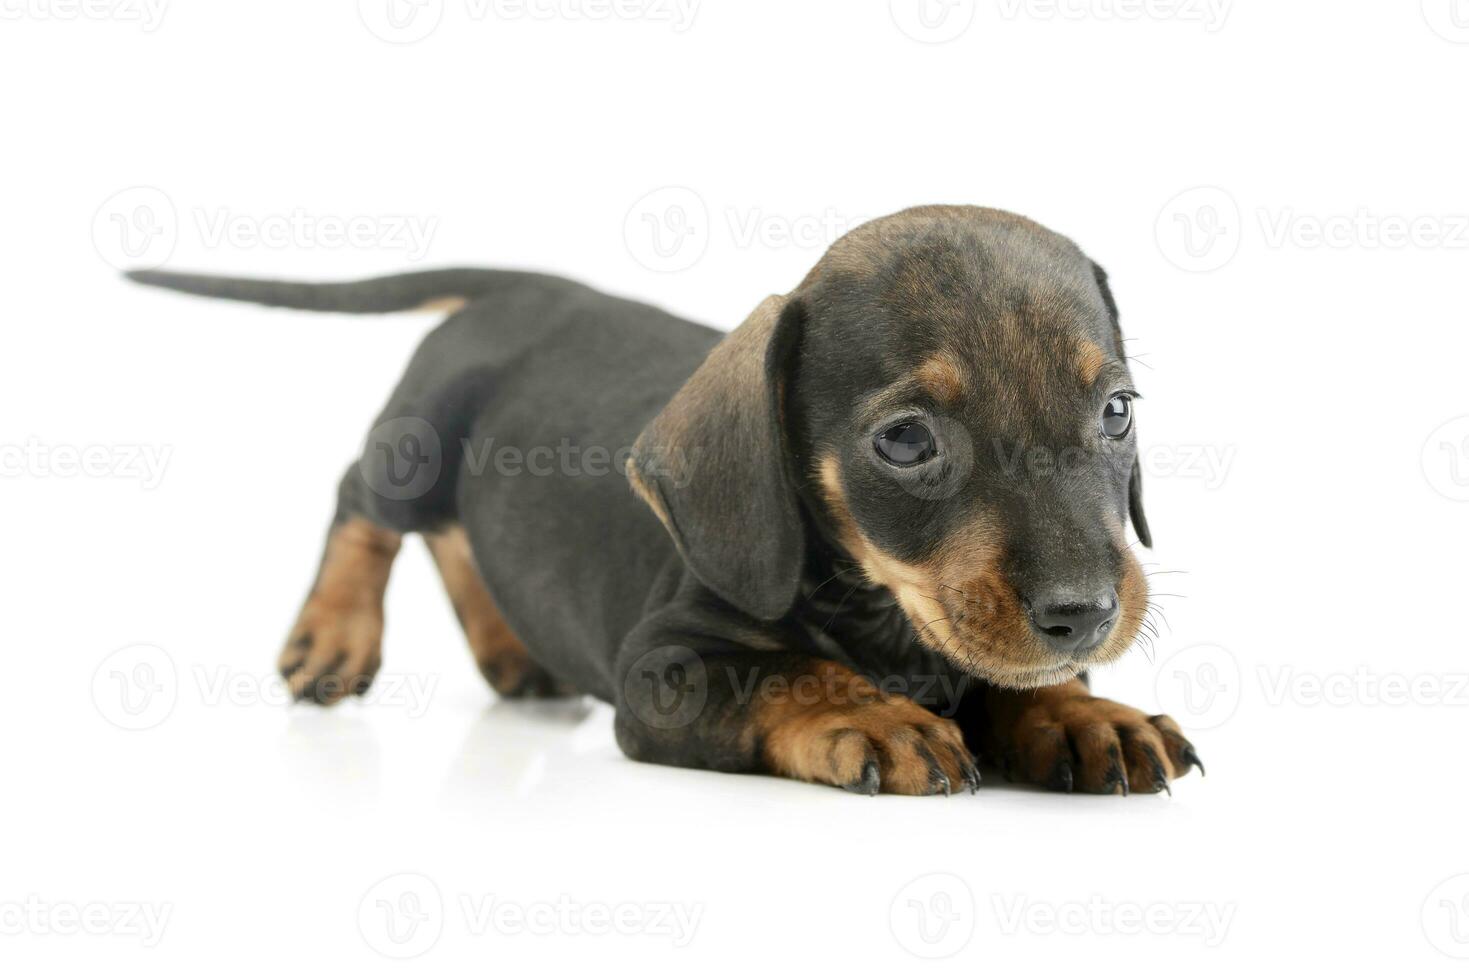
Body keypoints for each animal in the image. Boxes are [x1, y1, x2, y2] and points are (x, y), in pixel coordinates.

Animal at [132, 207, 1198, 799]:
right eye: (905, 441)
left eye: (1116, 411)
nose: (1083, 614)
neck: (887, 614)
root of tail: (529, 291)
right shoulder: (662, 669)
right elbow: (786, 674)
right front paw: (877, 717)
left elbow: (1020, 679)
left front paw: (1082, 715)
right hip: (421, 434)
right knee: (366, 499)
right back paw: (332, 638)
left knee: (453, 537)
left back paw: (513, 652)